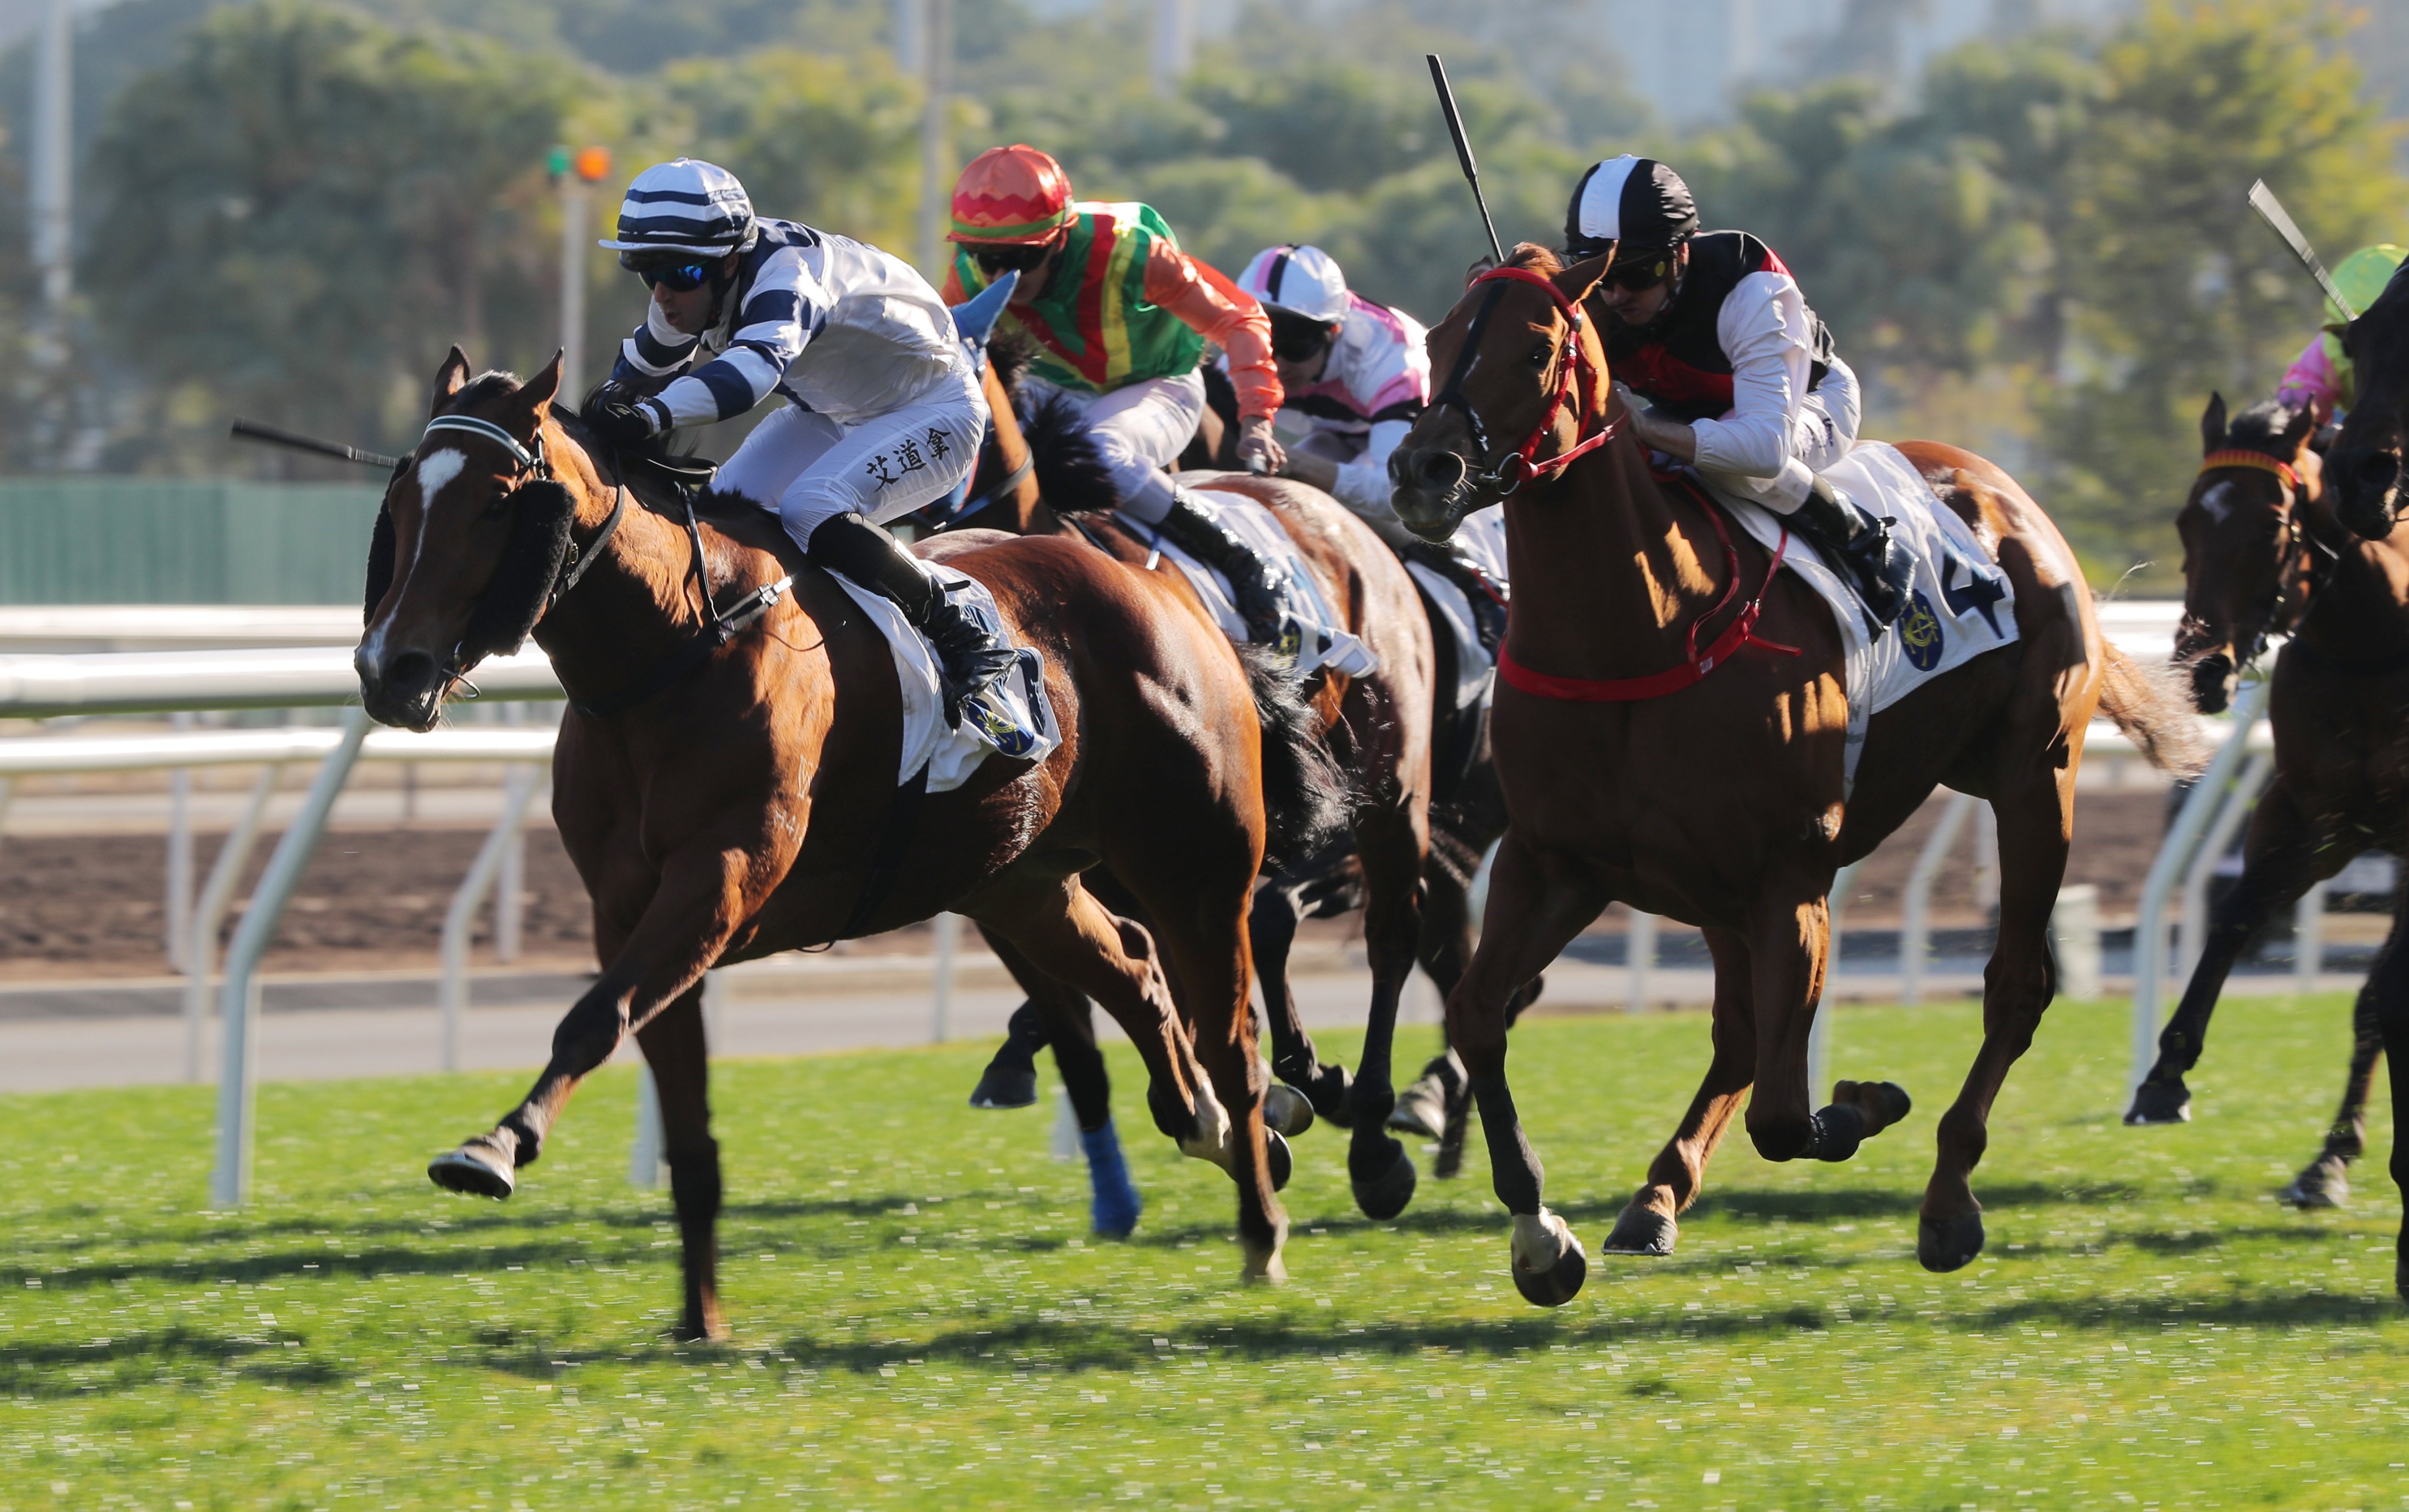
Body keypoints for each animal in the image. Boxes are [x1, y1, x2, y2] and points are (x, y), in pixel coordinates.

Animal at [359, 351, 1349, 1339]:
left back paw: (1261, 1222)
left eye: (496, 502)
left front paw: (494, 1145)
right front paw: (700, 1319)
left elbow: (594, 1018)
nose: (389, 669)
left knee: (1230, 1030)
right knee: (1137, 970)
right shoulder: (630, 908)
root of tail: (1168, 592)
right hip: (1020, 882)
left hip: (1193, 864)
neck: (670, 651)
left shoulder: (720, 881)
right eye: (402, 497)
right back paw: (1216, 1126)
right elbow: (678, 1114)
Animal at [1378, 245, 2207, 1300]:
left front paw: (1863, 1100)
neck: (1640, 629)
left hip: (2034, 776)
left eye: (1534, 348)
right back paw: (1656, 1197)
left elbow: (1785, 1110)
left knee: (2014, 987)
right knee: (1738, 1032)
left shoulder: (1791, 876)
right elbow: (1482, 1013)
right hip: (1715, 885)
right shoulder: (1555, 860)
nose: (1422, 470)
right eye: (1441, 339)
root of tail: (2004, 493)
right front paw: (1540, 1233)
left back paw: (1947, 1199)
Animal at [2129, 395, 2390, 1209]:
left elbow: (2378, 994)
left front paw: (2333, 1156)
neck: (2375, 649)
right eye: (2187, 519)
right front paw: (2163, 1077)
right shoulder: (2316, 813)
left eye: (2275, 525)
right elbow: (2234, 917)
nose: (2202, 669)